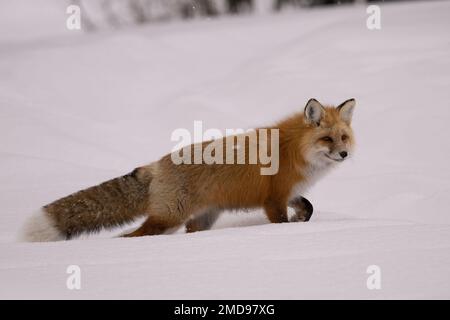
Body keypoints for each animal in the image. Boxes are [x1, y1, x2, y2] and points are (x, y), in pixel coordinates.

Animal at [22, 99, 356, 241]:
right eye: (327, 139)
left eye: (344, 137)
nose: (344, 154)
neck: (294, 150)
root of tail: (157, 165)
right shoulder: (272, 199)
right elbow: (281, 222)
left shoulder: (289, 193)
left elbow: (308, 208)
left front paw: (302, 221)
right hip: (168, 218)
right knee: (133, 235)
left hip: (200, 219)